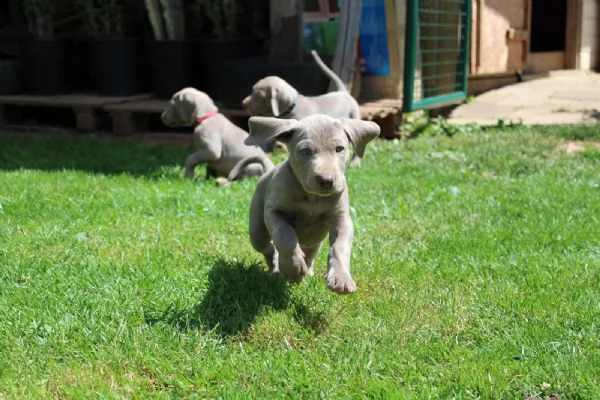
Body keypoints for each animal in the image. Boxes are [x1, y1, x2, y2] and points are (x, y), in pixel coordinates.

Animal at [244, 114, 380, 292]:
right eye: (305, 151)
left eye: (339, 149)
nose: (326, 180)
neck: (313, 198)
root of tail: (269, 170)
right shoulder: (274, 212)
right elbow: (285, 236)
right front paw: (292, 268)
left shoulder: (341, 219)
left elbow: (340, 246)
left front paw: (341, 277)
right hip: (257, 230)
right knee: (269, 247)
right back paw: (277, 268)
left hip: (315, 238)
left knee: (310, 252)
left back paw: (307, 271)